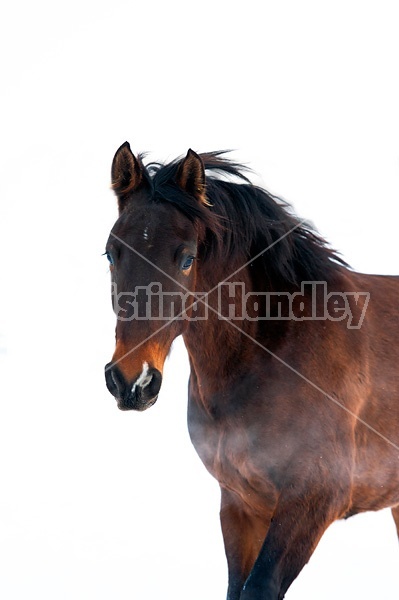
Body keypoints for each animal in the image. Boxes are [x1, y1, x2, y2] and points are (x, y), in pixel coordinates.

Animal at [104, 143, 399, 596]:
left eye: (187, 258)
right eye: (111, 253)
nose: (132, 381)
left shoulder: (311, 503)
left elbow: (258, 588)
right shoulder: (240, 506)